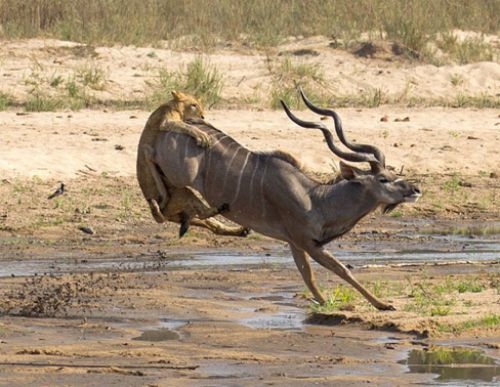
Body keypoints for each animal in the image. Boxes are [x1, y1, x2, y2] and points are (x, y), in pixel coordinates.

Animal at [151, 89, 418, 310]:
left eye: (393, 172)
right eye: (383, 179)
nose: (415, 189)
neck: (316, 199)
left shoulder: (294, 242)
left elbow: (308, 275)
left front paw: (324, 303)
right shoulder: (307, 242)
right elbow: (341, 270)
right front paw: (383, 304)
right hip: (178, 173)